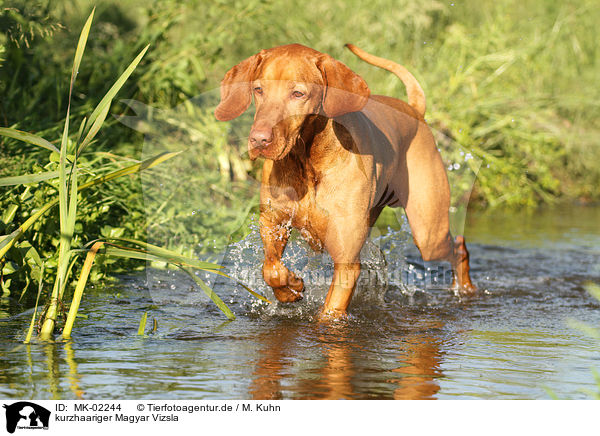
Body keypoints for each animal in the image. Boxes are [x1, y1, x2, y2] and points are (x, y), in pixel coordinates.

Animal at [214, 42, 474, 318]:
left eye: (298, 94)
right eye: (258, 89)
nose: (259, 140)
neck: (308, 160)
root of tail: (414, 109)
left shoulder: (346, 261)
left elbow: (330, 314)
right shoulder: (272, 222)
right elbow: (271, 269)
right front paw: (291, 288)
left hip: (428, 233)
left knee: (458, 247)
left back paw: (466, 288)